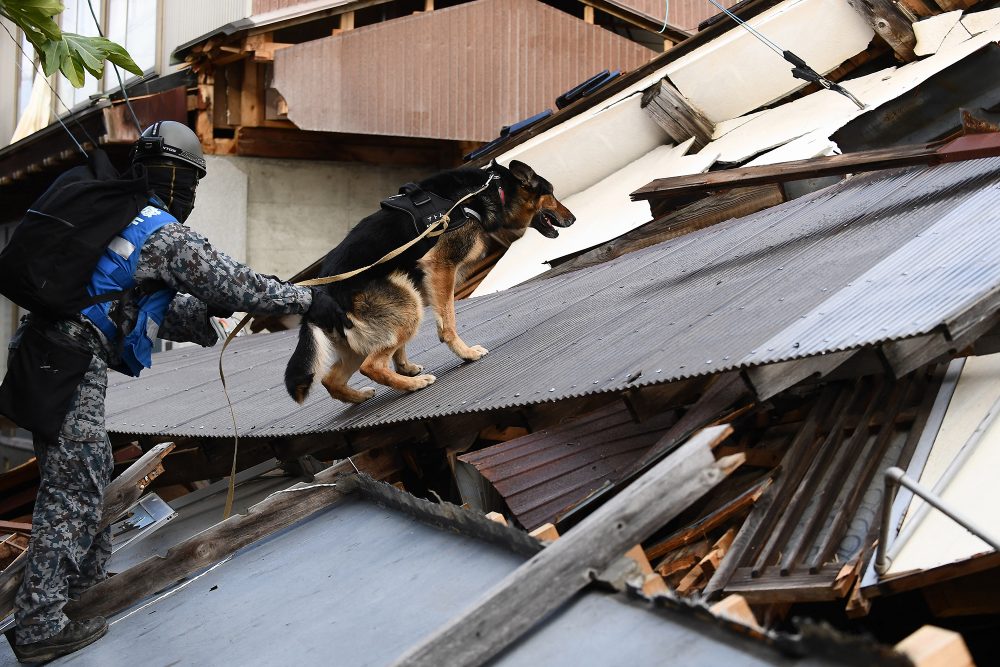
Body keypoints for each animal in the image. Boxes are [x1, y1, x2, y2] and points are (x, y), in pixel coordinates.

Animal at [286, 159, 576, 404]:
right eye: (552, 194)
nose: (573, 219)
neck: (489, 190)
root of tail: (320, 299)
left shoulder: (427, 279)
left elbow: (438, 318)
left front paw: (406, 366)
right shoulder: (441, 267)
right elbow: (449, 321)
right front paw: (465, 353)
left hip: (375, 327)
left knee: (330, 379)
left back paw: (362, 395)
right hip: (407, 303)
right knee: (372, 365)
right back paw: (413, 385)